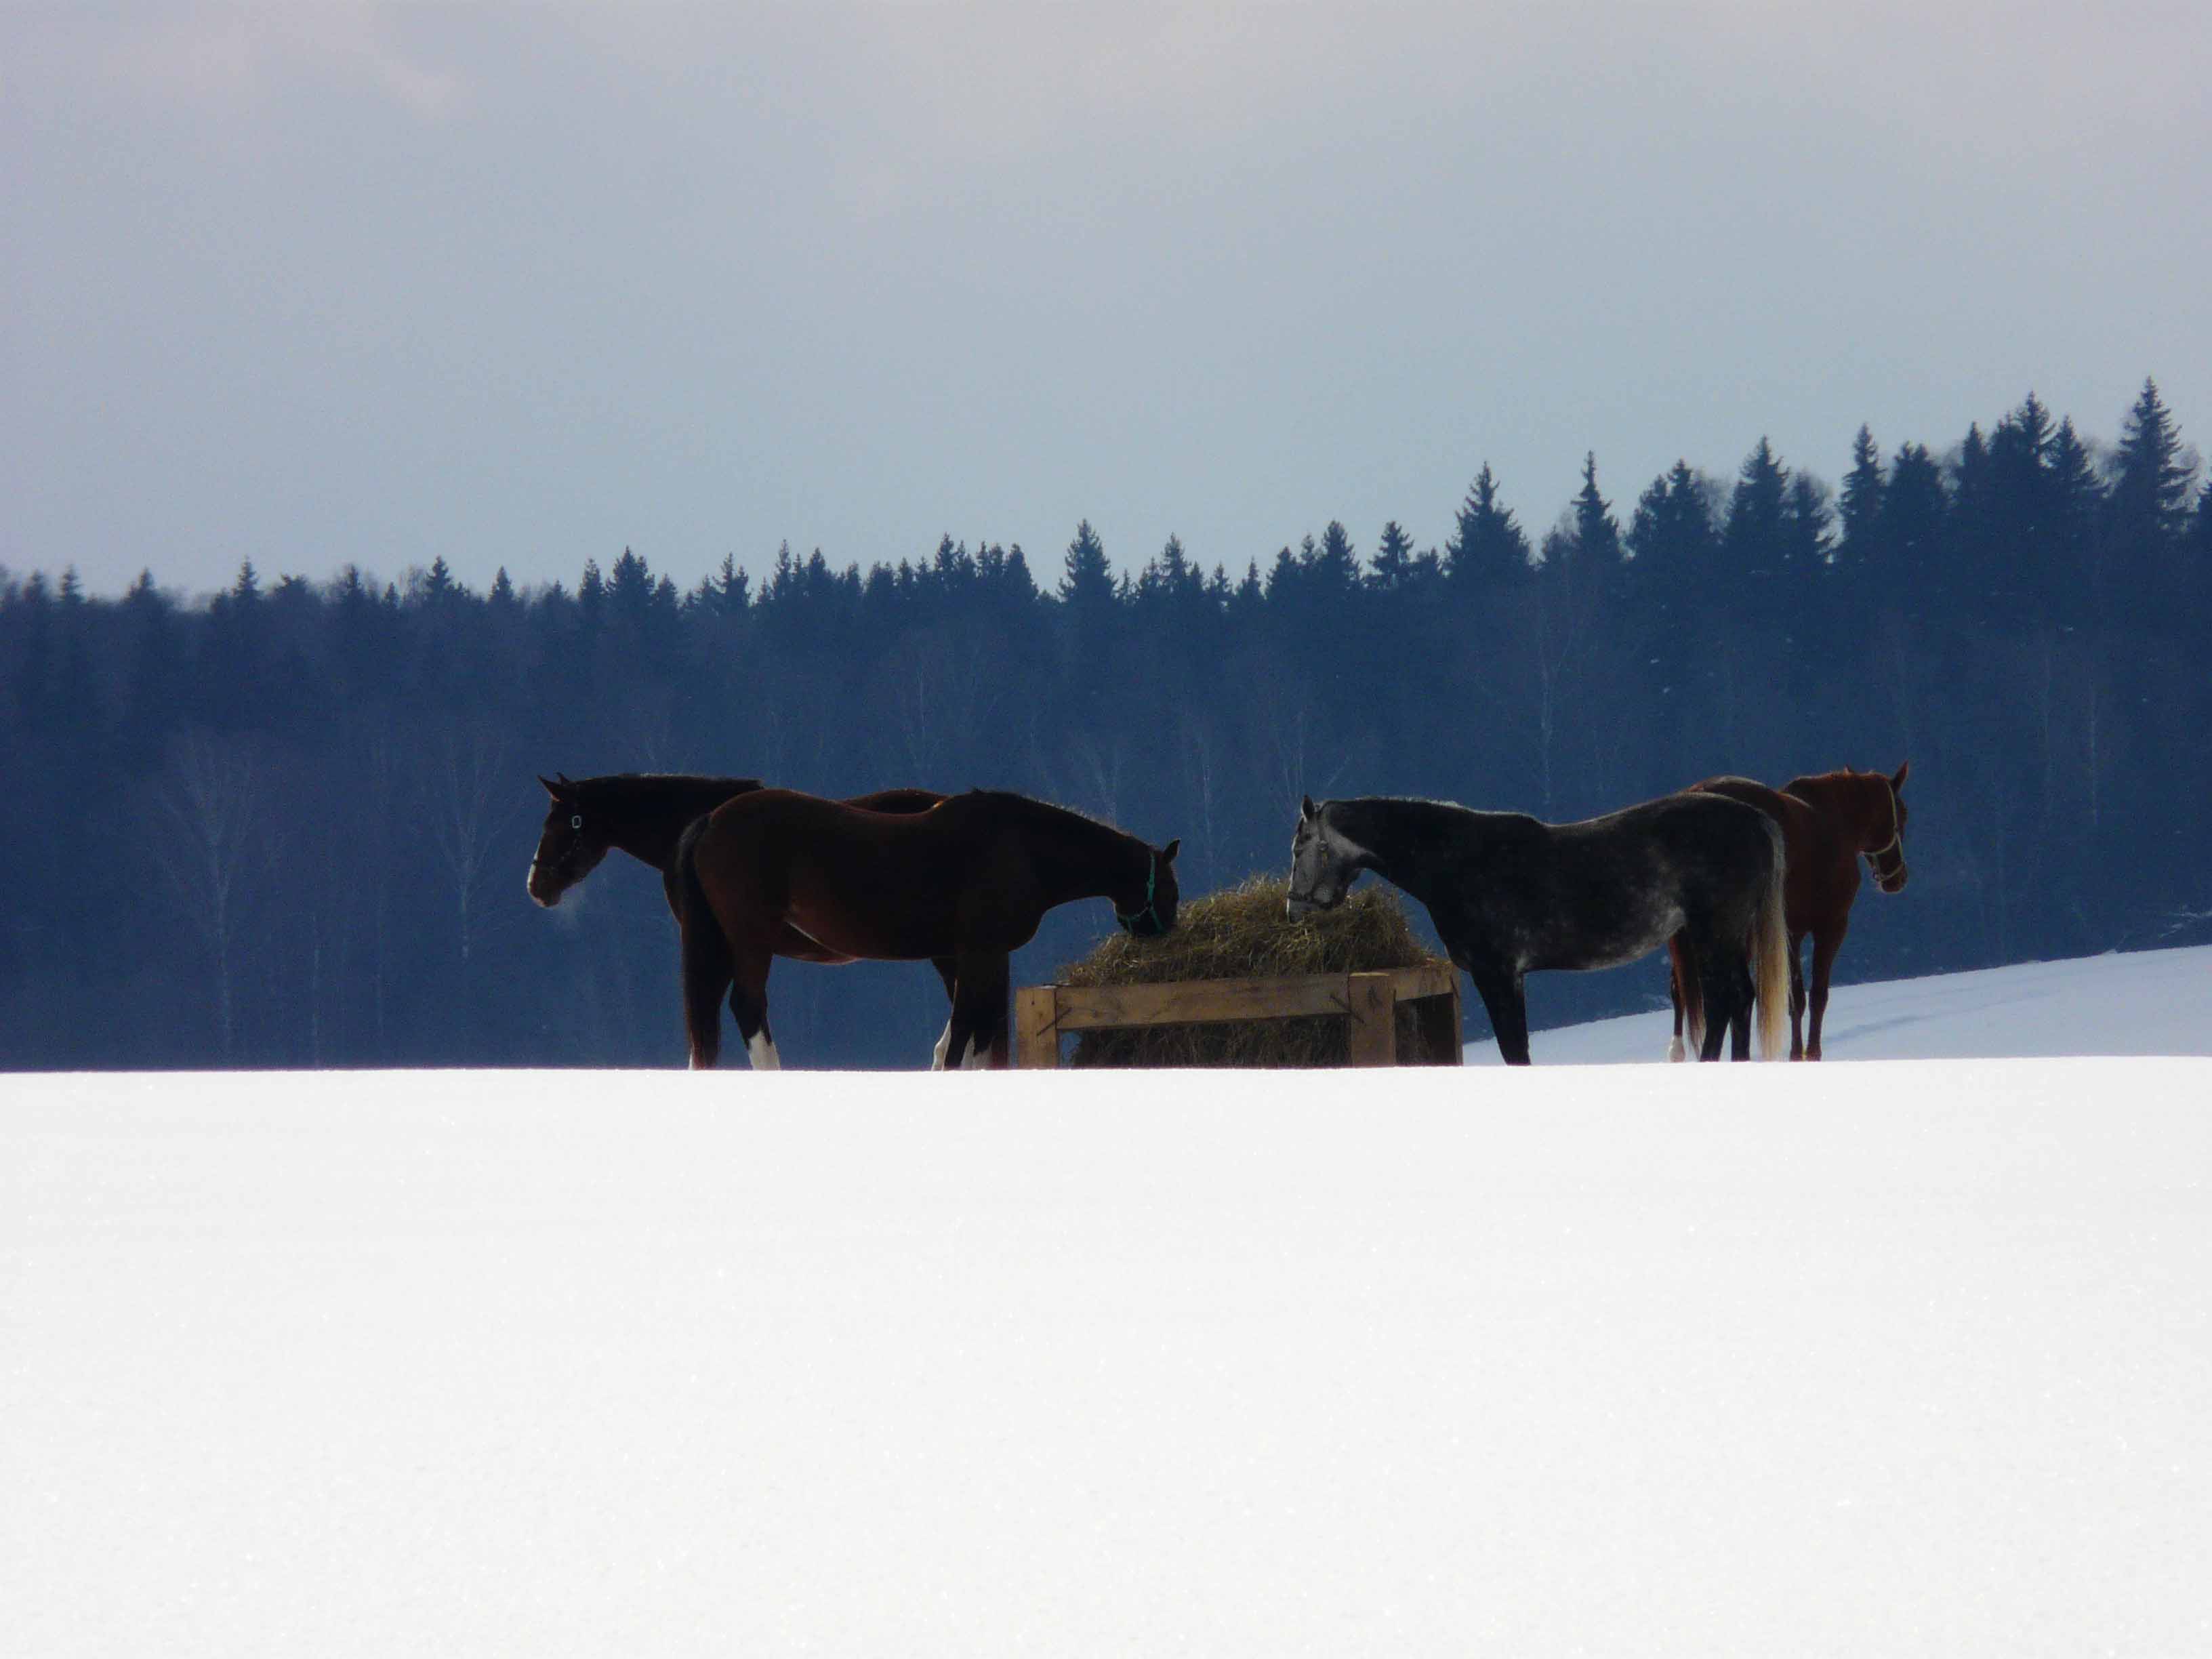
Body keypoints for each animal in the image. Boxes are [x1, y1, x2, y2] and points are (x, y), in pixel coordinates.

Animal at [681, 792, 1185, 1079]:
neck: (1023, 849)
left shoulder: (971, 956)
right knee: (748, 1007)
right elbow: (966, 1028)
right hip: (752, 940)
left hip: (723, 943)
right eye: (1171, 889)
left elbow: (975, 1028)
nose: (1165, 932)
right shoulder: (980, 951)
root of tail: (710, 821)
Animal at [1292, 787, 1787, 1066]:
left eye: (1300, 847)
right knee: (1737, 999)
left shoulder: (1498, 975)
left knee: (1728, 1000)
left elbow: (1515, 1050)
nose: (1294, 909)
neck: (1458, 863)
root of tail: (1756, 819)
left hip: (1714, 933)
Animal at [1663, 765, 1911, 1066]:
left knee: (1690, 991)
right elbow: (1816, 996)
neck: (1832, 820)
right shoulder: (1830, 927)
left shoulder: (1791, 932)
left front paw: (1796, 1053)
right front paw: (1810, 1054)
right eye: (1903, 814)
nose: (1899, 877)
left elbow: (1795, 998)